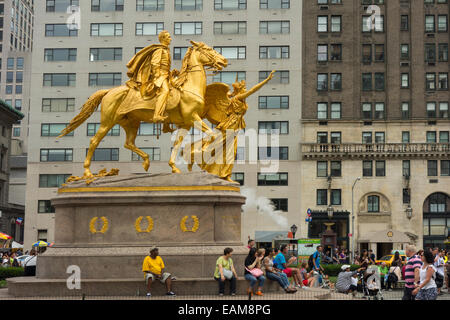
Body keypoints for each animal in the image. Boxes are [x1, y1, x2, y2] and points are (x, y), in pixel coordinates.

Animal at [59, 40, 229, 178]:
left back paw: (147, 161)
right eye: (208, 49)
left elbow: (177, 144)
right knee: (94, 141)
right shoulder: (193, 117)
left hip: (130, 122)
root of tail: (108, 91)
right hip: (108, 121)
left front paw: (175, 166)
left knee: (128, 143)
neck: (189, 87)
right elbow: (212, 134)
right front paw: (198, 152)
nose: (224, 60)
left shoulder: (185, 124)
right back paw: (87, 173)